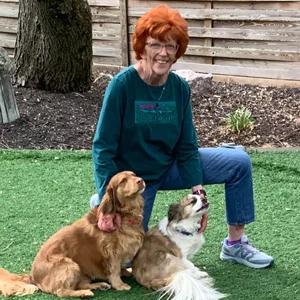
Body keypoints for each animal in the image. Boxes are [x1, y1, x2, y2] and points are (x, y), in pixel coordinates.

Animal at [0, 171, 145, 298]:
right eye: (123, 180)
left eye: (134, 175)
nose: (141, 180)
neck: (125, 214)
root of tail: (32, 276)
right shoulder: (112, 252)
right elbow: (114, 270)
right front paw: (120, 285)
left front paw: (127, 271)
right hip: (69, 264)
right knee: (62, 291)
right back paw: (84, 293)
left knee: (80, 284)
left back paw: (99, 285)